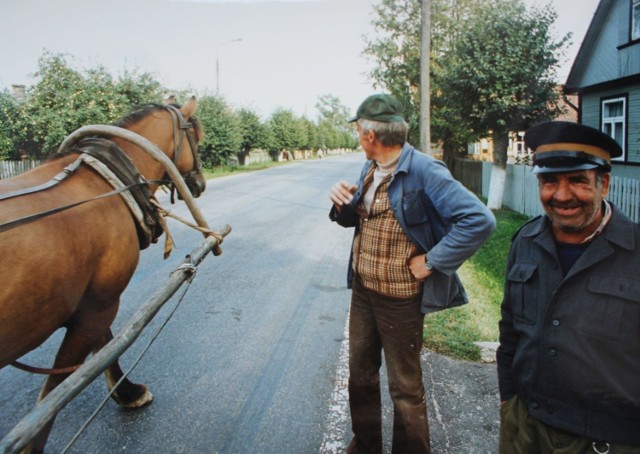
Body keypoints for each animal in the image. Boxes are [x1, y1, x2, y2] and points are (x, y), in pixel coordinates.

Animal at [0, 97, 206, 452]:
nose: (202, 183)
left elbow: (106, 346)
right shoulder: (100, 304)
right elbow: (56, 393)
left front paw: (128, 393)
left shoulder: (94, 300)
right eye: (197, 138)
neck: (109, 182)